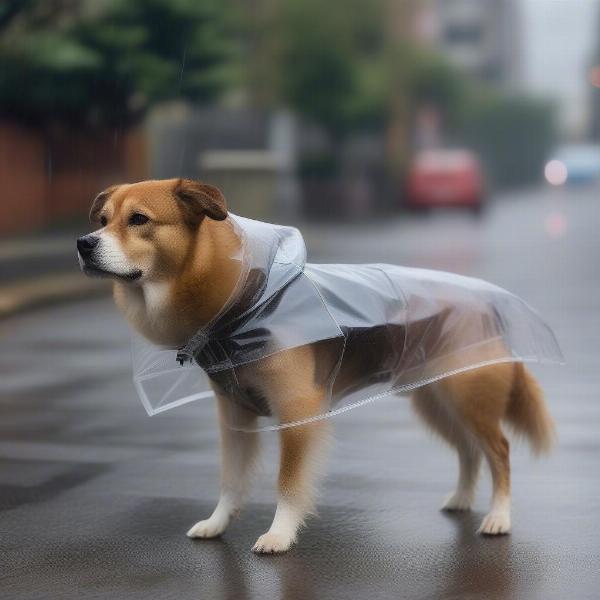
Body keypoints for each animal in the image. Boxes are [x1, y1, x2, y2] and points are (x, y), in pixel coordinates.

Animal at [77, 177, 556, 552]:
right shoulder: (234, 417)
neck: (245, 302)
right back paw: (461, 498)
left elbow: (288, 484)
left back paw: (498, 517)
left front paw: (279, 536)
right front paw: (217, 523)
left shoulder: (297, 413)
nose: (83, 243)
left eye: (139, 220)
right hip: (439, 401)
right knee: (470, 451)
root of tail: (488, 303)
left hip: (470, 400)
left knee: (499, 452)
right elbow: (231, 479)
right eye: (103, 221)